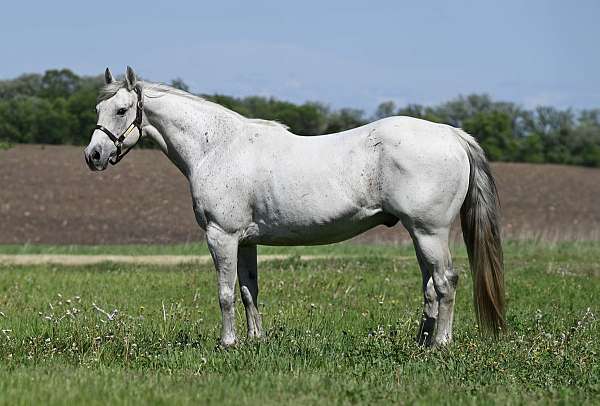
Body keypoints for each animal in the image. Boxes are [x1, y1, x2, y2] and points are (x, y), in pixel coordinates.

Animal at [85, 66, 506, 346]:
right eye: (97, 110)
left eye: (121, 110)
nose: (93, 156)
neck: (216, 146)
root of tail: (451, 134)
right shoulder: (246, 241)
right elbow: (248, 290)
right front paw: (254, 341)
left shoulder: (221, 236)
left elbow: (225, 293)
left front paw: (227, 343)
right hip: (419, 235)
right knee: (430, 287)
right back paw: (421, 342)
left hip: (429, 231)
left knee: (446, 281)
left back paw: (440, 344)